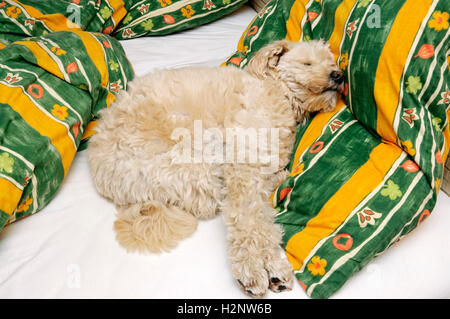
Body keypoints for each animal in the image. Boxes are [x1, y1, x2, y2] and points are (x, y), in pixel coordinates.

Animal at [86, 39, 342, 298]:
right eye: (307, 63)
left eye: (331, 62)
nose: (338, 75)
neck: (277, 91)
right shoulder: (242, 162)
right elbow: (248, 220)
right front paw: (257, 267)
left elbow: (260, 215)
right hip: (194, 155)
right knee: (211, 202)